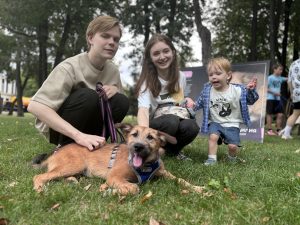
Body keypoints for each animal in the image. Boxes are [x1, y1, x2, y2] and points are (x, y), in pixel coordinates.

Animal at [34, 124, 204, 194]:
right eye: (134, 134)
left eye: (150, 137)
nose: (138, 147)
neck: (145, 166)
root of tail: (55, 153)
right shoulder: (114, 176)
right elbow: (134, 188)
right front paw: (110, 189)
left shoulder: (164, 173)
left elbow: (181, 180)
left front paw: (197, 188)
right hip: (74, 164)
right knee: (39, 177)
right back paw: (40, 189)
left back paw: (71, 180)